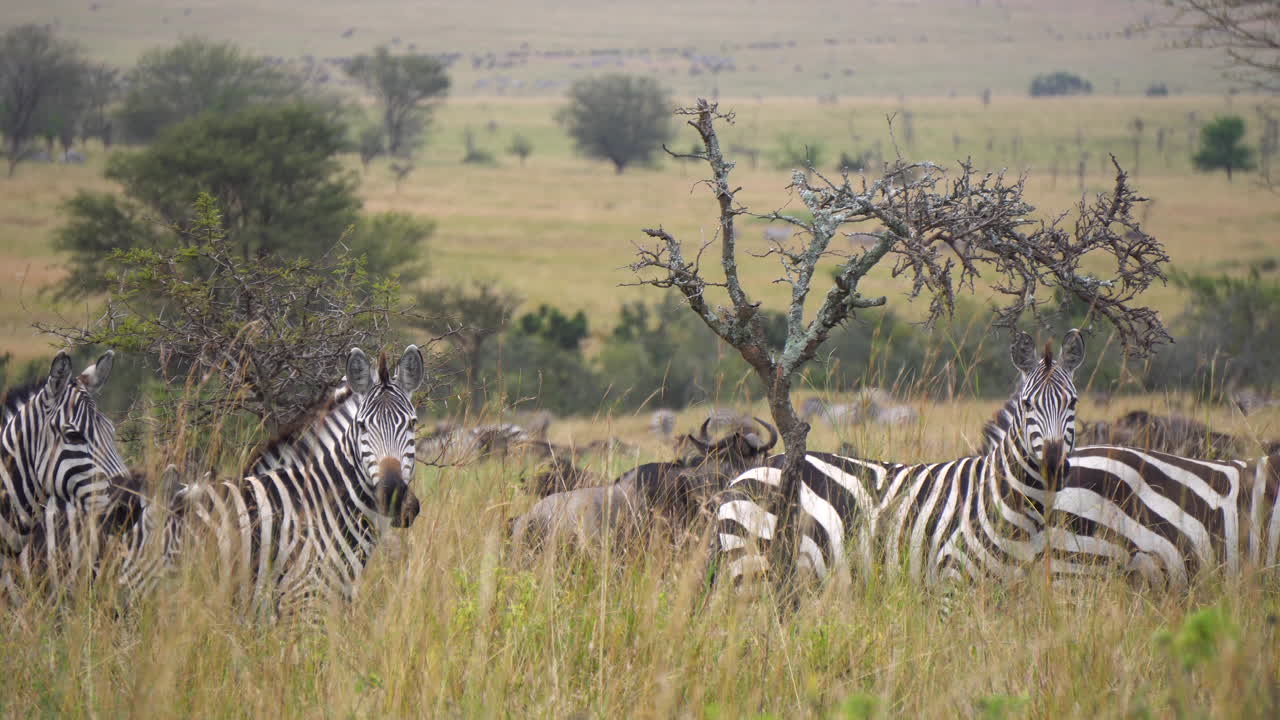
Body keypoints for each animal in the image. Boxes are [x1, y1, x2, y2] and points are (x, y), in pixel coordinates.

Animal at [713, 330, 1084, 588]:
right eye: (1027, 404)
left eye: (1074, 403)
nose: (1053, 467)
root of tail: (743, 476)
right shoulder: (953, 579)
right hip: (753, 564)